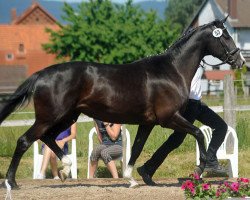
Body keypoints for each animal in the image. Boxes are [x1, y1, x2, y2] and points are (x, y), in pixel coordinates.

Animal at [0, 17, 245, 189]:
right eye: (224, 36)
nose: (240, 60)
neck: (171, 70)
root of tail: (41, 74)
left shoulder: (148, 123)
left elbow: (136, 148)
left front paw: (131, 179)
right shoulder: (169, 118)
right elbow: (198, 133)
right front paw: (199, 170)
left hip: (66, 116)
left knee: (48, 137)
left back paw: (65, 169)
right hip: (50, 117)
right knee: (25, 140)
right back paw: (12, 182)